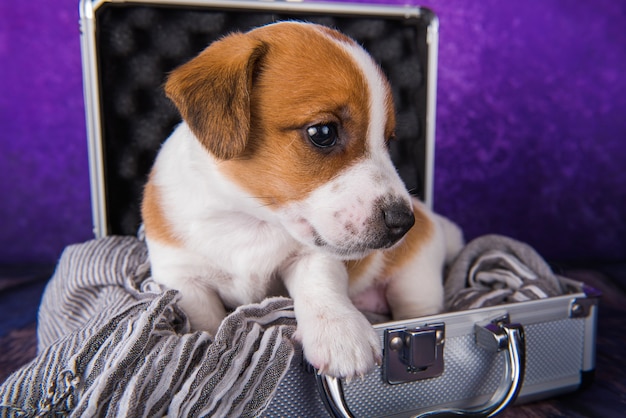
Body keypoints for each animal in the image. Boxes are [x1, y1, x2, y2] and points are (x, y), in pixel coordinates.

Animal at [143, 21, 464, 378]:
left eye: (388, 140)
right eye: (323, 132)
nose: (404, 222)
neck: (250, 220)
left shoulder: (315, 255)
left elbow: (320, 287)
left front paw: (340, 332)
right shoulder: (183, 279)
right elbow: (207, 320)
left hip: (416, 280)